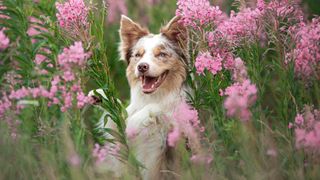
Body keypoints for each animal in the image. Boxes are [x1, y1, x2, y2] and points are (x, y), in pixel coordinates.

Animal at [89, 14, 190, 179]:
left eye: (161, 54)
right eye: (138, 55)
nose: (142, 66)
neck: (153, 96)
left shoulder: (160, 154)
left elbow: (159, 107)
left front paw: (133, 123)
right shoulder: (125, 154)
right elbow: (118, 117)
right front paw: (102, 95)